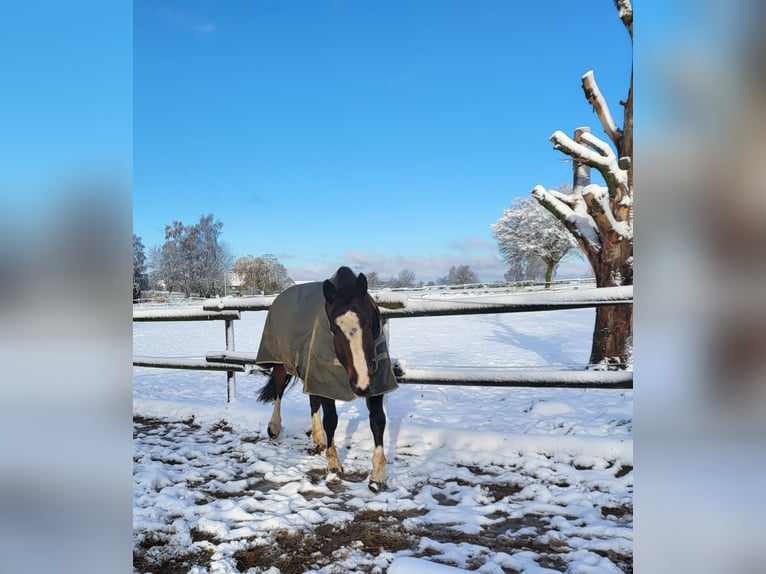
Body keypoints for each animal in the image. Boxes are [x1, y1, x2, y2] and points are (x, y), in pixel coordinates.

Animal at [255, 268, 400, 492]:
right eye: (334, 328)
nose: (361, 385)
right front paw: (333, 464)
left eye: (369, 323)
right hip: (282, 363)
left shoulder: (376, 385)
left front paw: (378, 477)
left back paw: (318, 439)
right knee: (279, 391)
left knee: (312, 400)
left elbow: (377, 421)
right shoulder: (326, 381)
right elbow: (331, 420)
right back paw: (274, 428)